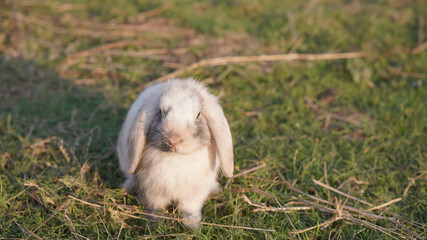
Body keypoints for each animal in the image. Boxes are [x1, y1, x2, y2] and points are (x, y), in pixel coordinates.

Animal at [117, 78, 234, 230]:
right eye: (161, 112)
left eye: (198, 115)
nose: (174, 140)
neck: (177, 158)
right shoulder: (153, 191)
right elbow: (156, 209)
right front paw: (156, 225)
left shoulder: (192, 195)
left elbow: (189, 210)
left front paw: (193, 228)